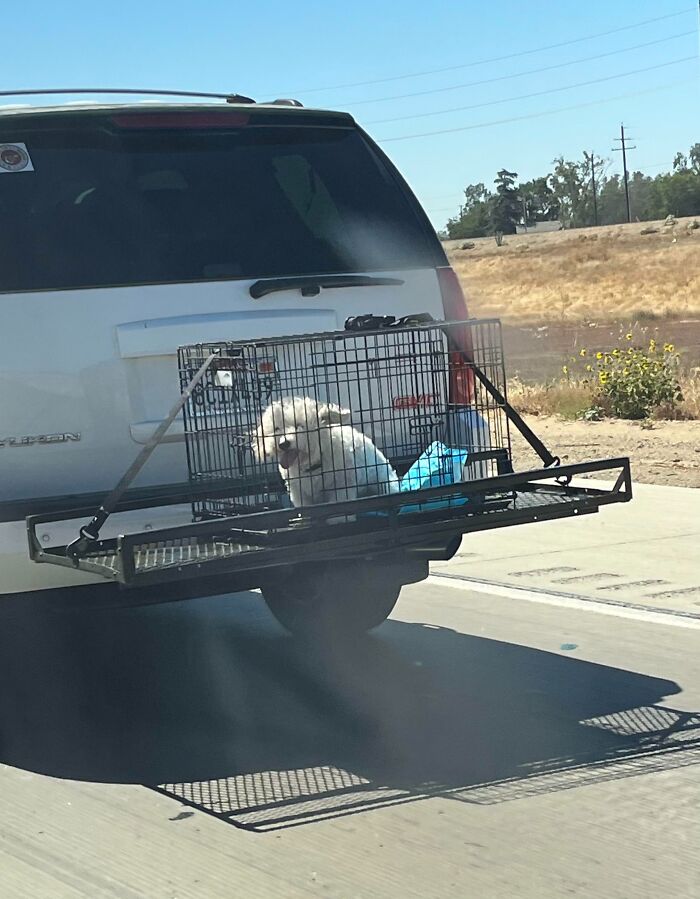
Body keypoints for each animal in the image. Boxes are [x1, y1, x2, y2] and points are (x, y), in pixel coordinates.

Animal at [256, 398, 400, 510]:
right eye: (276, 428)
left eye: (299, 426)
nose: (283, 444)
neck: (313, 465)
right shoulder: (300, 493)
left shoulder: (341, 488)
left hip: (385, 483)